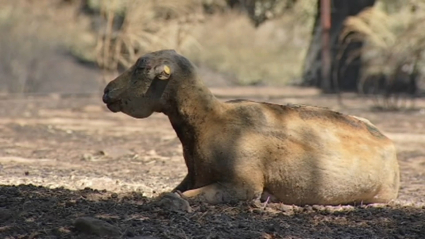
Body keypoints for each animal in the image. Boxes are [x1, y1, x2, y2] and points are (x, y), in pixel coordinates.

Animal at [102, 49, 398, 205]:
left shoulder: (243, 184)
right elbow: (176, 189)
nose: (107, 91)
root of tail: (389, 143)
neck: (207, 120)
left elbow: (186, 195)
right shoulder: (193, 174)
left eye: (142, 68)